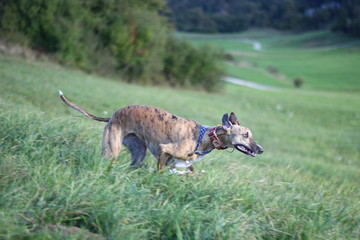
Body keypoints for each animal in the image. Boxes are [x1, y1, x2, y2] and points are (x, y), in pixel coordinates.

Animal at [58, 91, 262, 173]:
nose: (261, 150)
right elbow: (159, 172)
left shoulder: (181, 165)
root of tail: (113, 115)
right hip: (112, 150)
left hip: (138, 150)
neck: (205, 137)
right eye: (245, 135)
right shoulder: (165, 150)